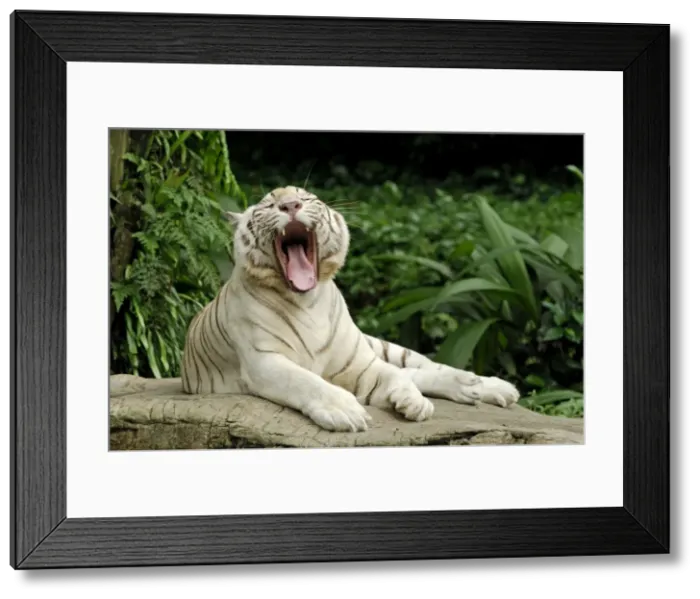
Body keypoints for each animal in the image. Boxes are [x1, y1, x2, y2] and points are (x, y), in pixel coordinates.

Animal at [180, 185, 520, 432]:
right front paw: (345, 410)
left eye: (306, 197)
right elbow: (305, 381)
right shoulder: (264, 361)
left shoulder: (360, 363)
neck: (307, 302)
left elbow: (395, 375)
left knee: (419, 366)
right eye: (269, 205)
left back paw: (483, 385)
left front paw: (413, 402)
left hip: (379, 347)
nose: (290, 205)